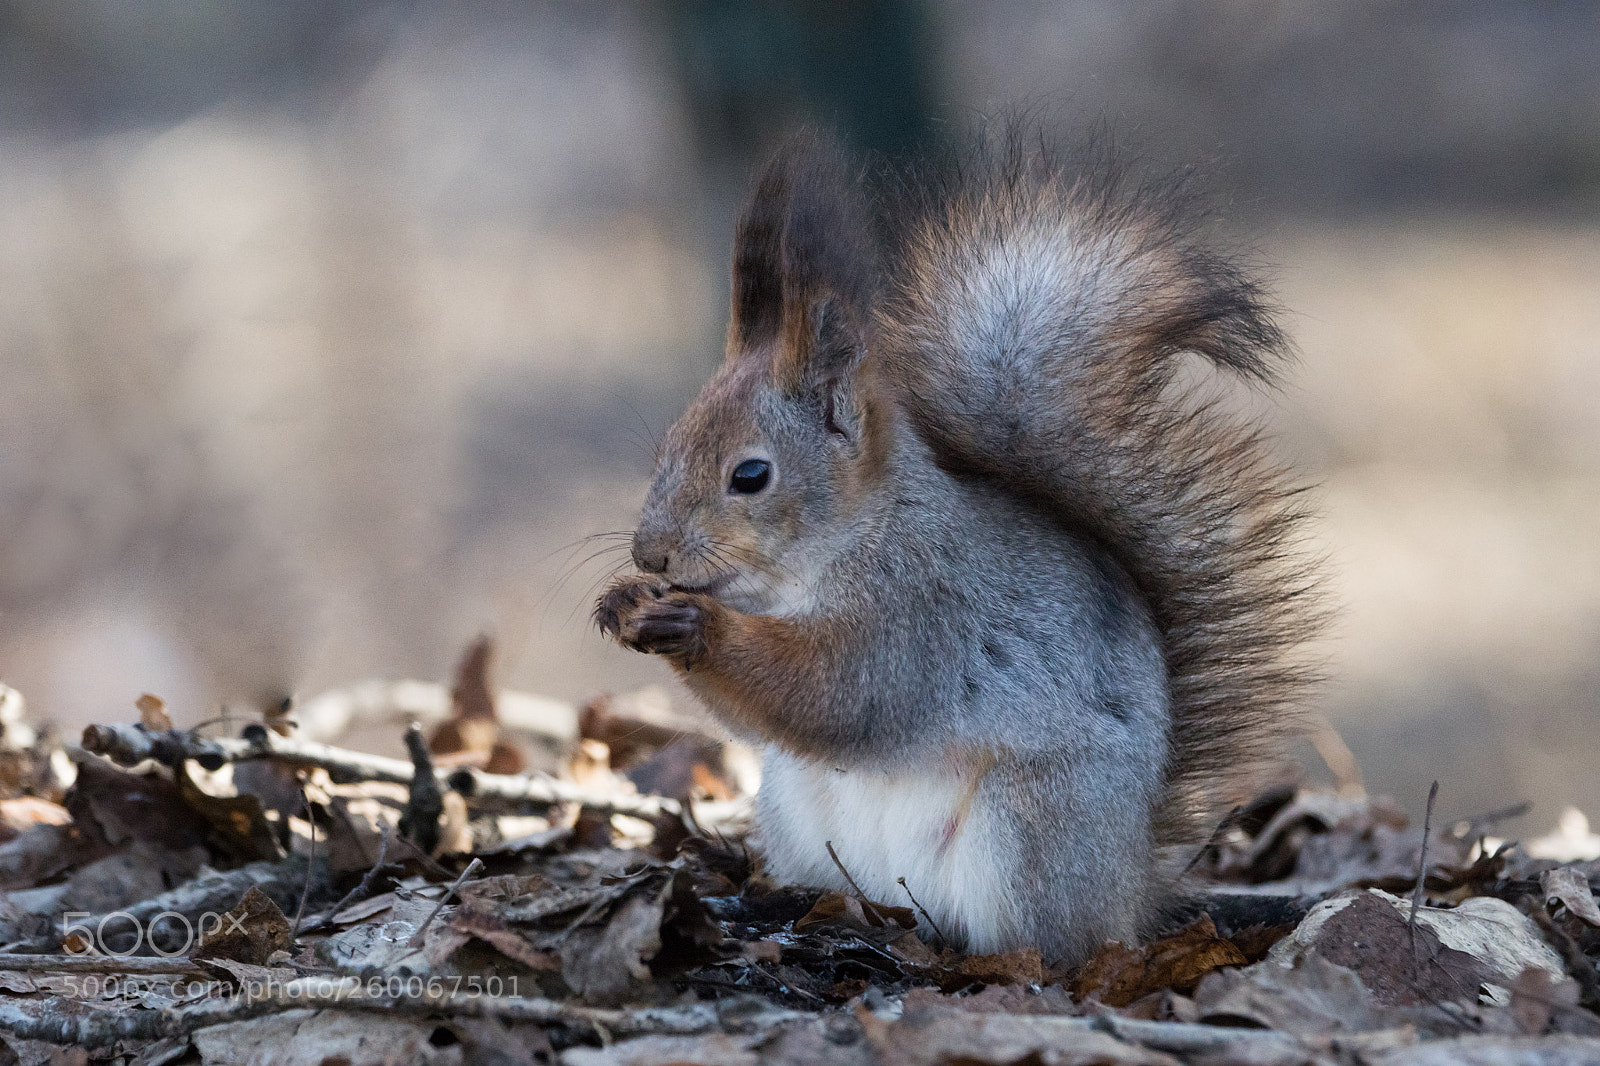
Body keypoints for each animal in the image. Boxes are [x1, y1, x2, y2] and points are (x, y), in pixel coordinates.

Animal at [595, 128, 1320, 965]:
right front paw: (624, 602)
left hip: (1029, 823)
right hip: (792, 807)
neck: (848, 541)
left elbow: (840, 693)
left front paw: (694, 625)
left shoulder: (924, 607)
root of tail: (1134, 892)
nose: (651, 556)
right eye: (667, 450)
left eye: (751, 476)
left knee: (1046, 940)